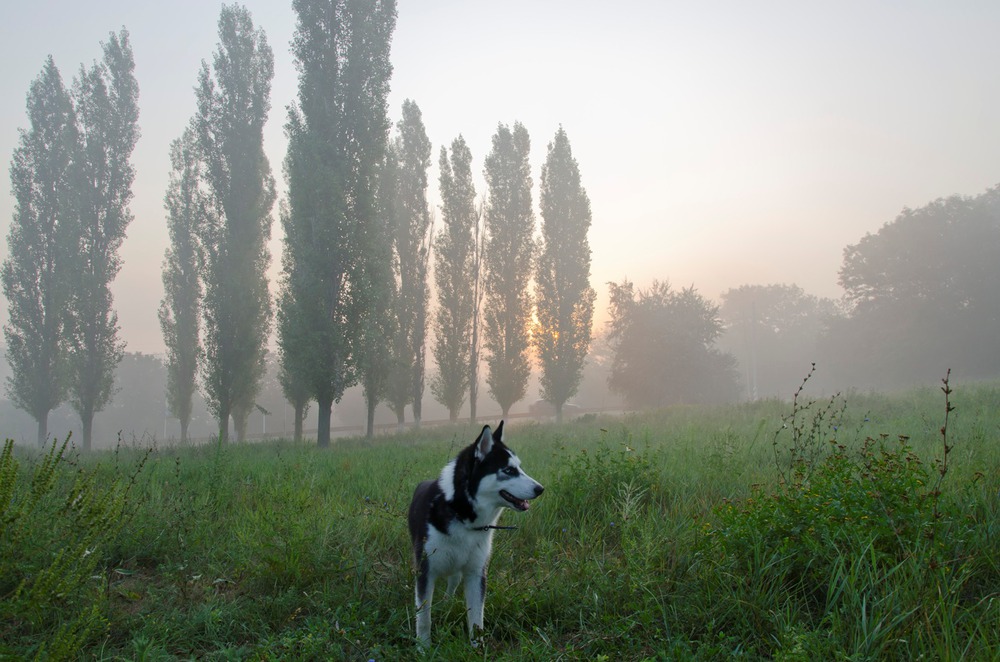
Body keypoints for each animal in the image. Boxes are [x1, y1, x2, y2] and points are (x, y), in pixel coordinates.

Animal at [408, 426, 548, 648]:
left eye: (519, 467)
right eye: (508, 470)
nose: (540, 489)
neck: (461, 515)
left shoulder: (476, 572)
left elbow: (476, 619)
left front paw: (477, 648)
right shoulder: (425, 571)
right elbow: (424, 617)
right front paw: (424, 647)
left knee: (453, 581)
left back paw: (447, 603)